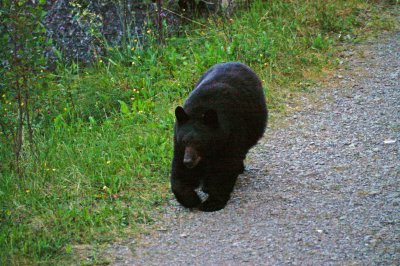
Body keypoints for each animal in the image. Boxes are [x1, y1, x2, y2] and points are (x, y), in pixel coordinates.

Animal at [170, 62, 268, 212]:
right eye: (184, 140)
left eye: (199, 142)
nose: (188, 161)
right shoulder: (179, 144)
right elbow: (179, 172)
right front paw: (192, 199)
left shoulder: (231, 134)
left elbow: (225, 167)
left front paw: (212, 202)